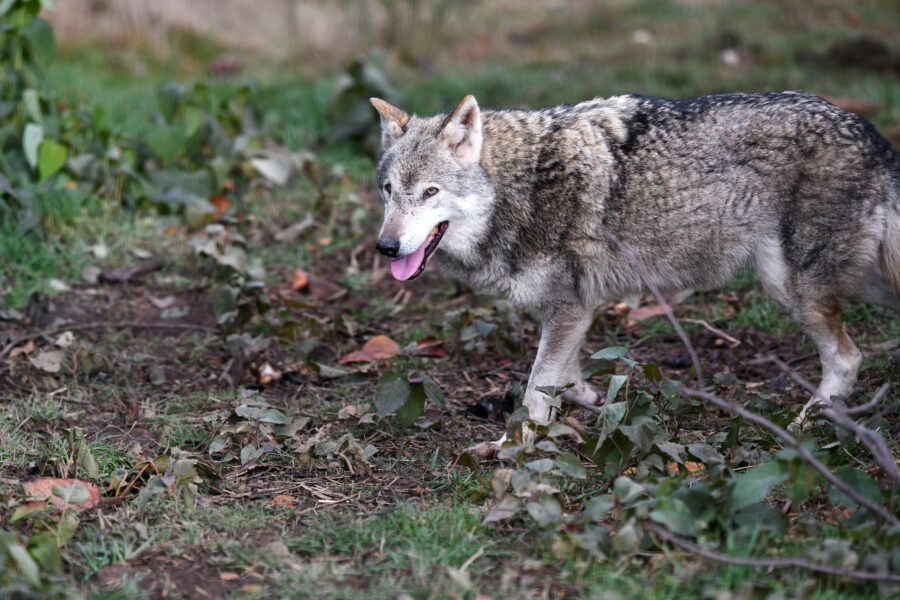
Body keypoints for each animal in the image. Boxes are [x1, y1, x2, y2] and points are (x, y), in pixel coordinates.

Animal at [370, 91, 900, 452]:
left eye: (430, 193)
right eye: (388, 190)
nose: (386, 247)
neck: (523, 188)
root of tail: (873, 135)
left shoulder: (568, 306)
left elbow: (537, 386)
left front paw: (513, 446)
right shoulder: (573, 309)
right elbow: (565, 376)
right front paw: (591, 404)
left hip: (792, 290)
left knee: (847, 358)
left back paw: (807, 424)